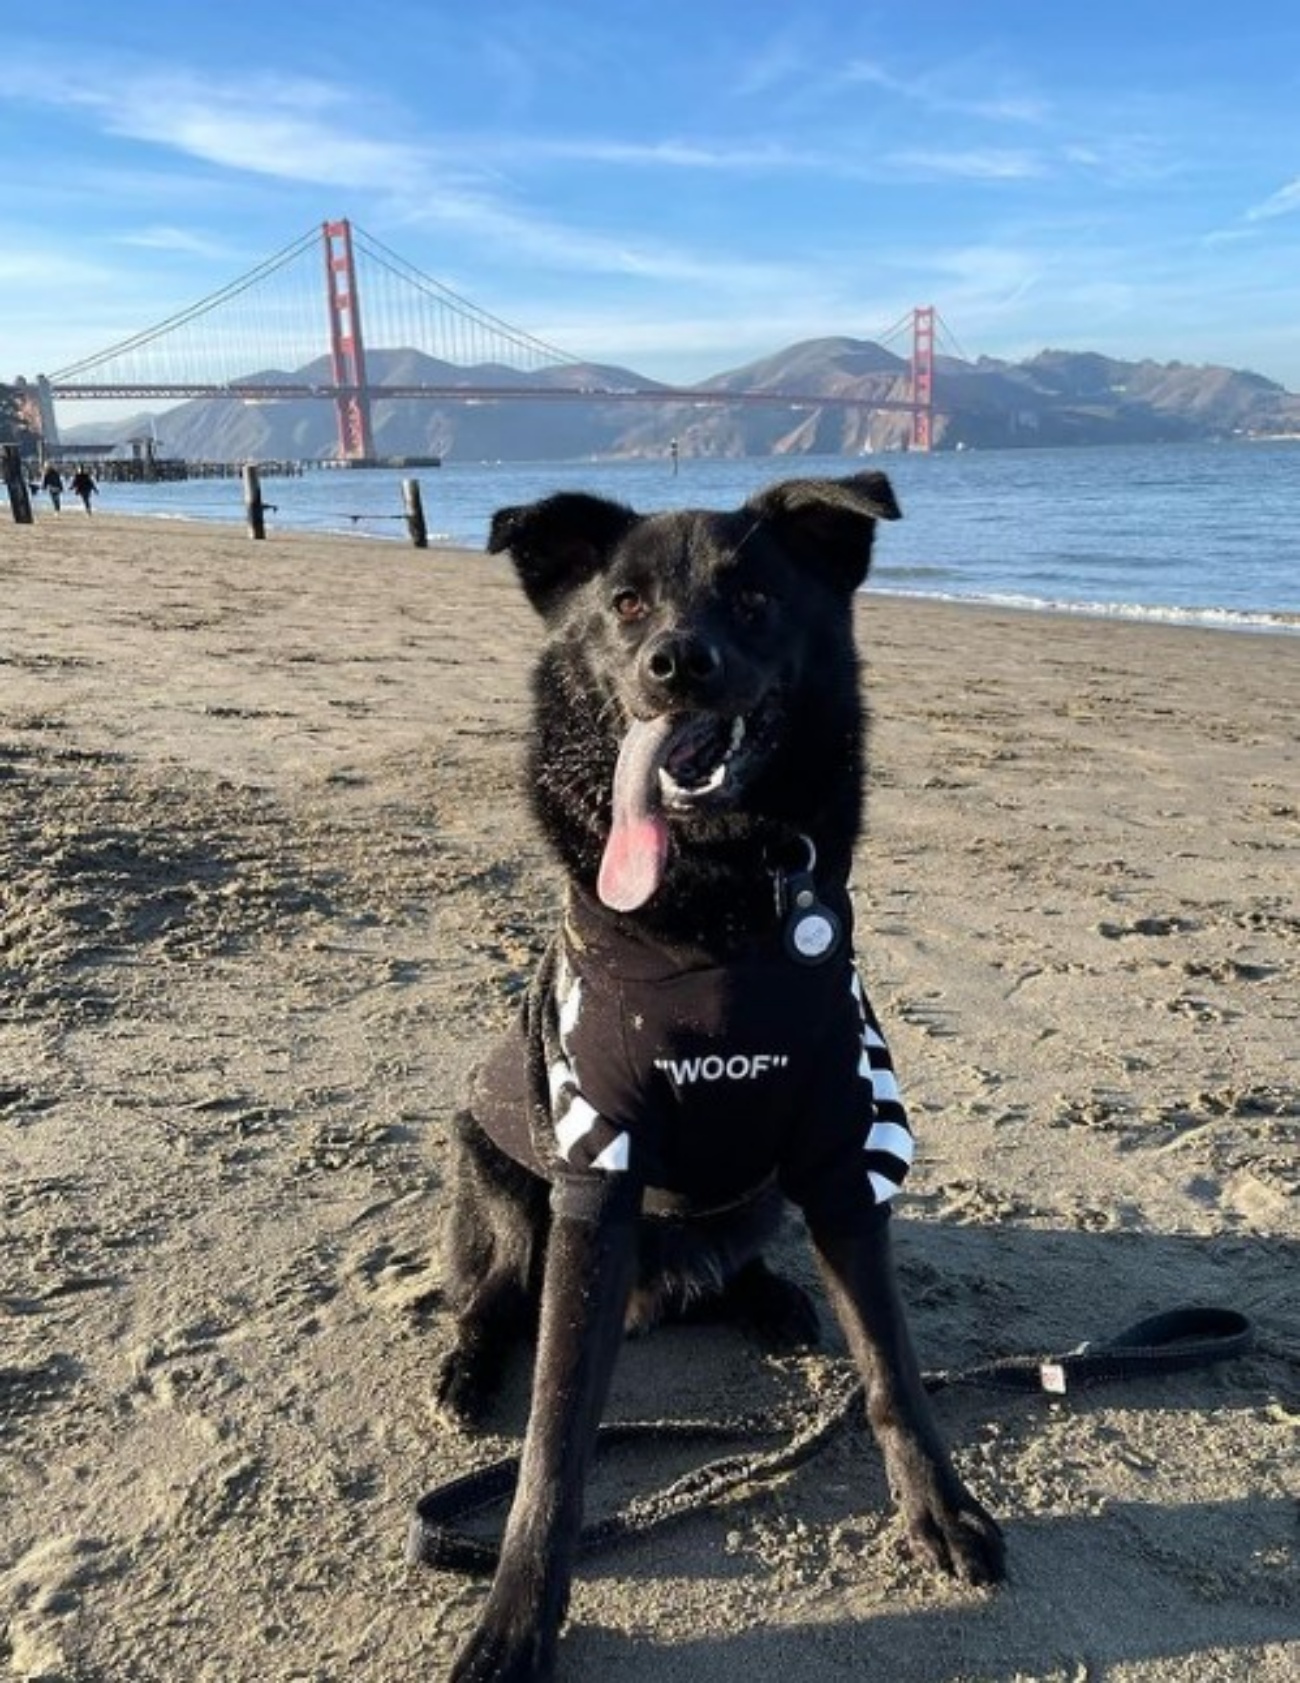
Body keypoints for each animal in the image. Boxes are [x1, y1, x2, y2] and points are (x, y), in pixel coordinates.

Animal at [437, 474, 1003, 1683]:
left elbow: (892, 1367)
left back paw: (773, 1298)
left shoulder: (843, 1155)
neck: (716, 905)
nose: (676, 664)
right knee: (491, 1296)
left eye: (752, 599)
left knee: (736, 1263)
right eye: (625, 603)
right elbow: (556, 1436)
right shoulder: (594, 1177)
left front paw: (939, 1506)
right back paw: (466, 1368)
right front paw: (515, 1611)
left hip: (755, 1200)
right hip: (500, 1185)